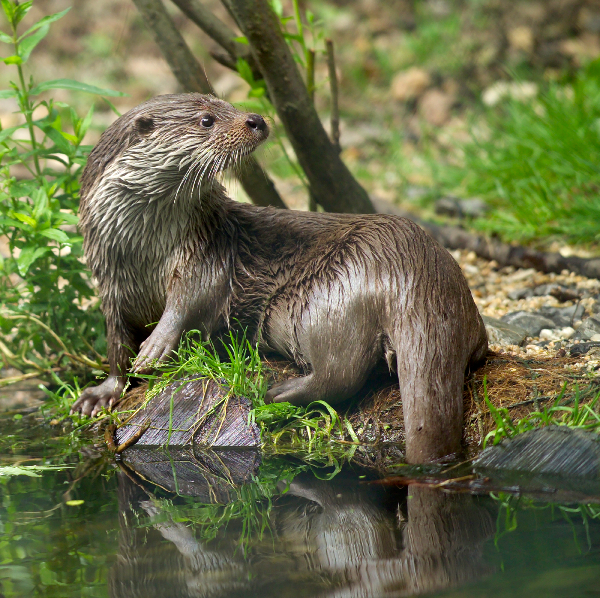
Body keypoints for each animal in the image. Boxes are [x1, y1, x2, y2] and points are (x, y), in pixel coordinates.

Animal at [74, 94, 488, 464]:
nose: (255, 119)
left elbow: (189, 301)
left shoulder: (204, 257)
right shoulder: (110, 288)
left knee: (341, 372)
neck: (142, 255)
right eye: (207, 119)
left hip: (319, 298)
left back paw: (274, 393)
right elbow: (116, 347)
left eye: (227, 104)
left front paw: (157, 346)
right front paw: (99, 394)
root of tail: (416, 271)